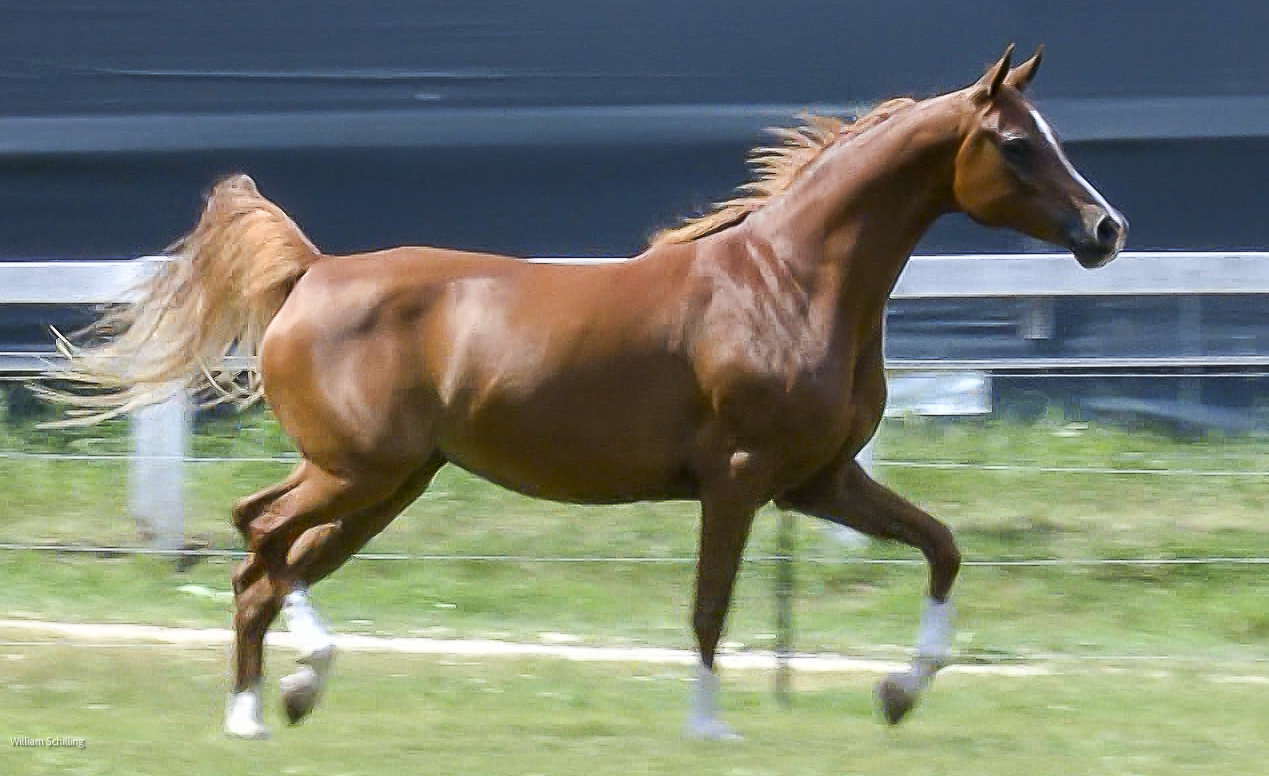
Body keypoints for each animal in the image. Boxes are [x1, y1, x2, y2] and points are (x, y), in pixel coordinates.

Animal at [37, 44, 1126, 740]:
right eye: (1017, 144)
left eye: (1050, 134)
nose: (1105, 229)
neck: (788, 281)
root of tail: (311, 273)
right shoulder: (739, 478)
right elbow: (709, 609)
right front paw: (709, 729)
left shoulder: (819, 481)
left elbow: (942, 547)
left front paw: (899, 692)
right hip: (356, 469)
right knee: (256, 533)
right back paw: (279, 696)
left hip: (390, 484)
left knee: (268, 564)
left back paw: (272, 704)